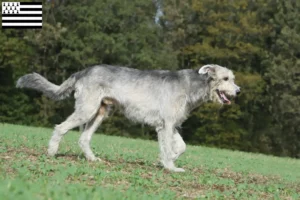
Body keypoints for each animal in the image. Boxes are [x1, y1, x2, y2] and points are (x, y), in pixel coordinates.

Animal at [17, 64, 241, 172]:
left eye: (233, 78)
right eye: (225, 78)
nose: (238, 91)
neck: (192, 86)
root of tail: (82, 72)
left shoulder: (170, 124)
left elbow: (181, 146)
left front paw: (171, 160)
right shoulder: (167, 125)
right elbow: (168, 148)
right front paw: (170, 167)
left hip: (100, 113)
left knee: (83, 138)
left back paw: (92, 159)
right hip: (86, 110)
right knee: (60, 127)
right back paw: (51, 153)